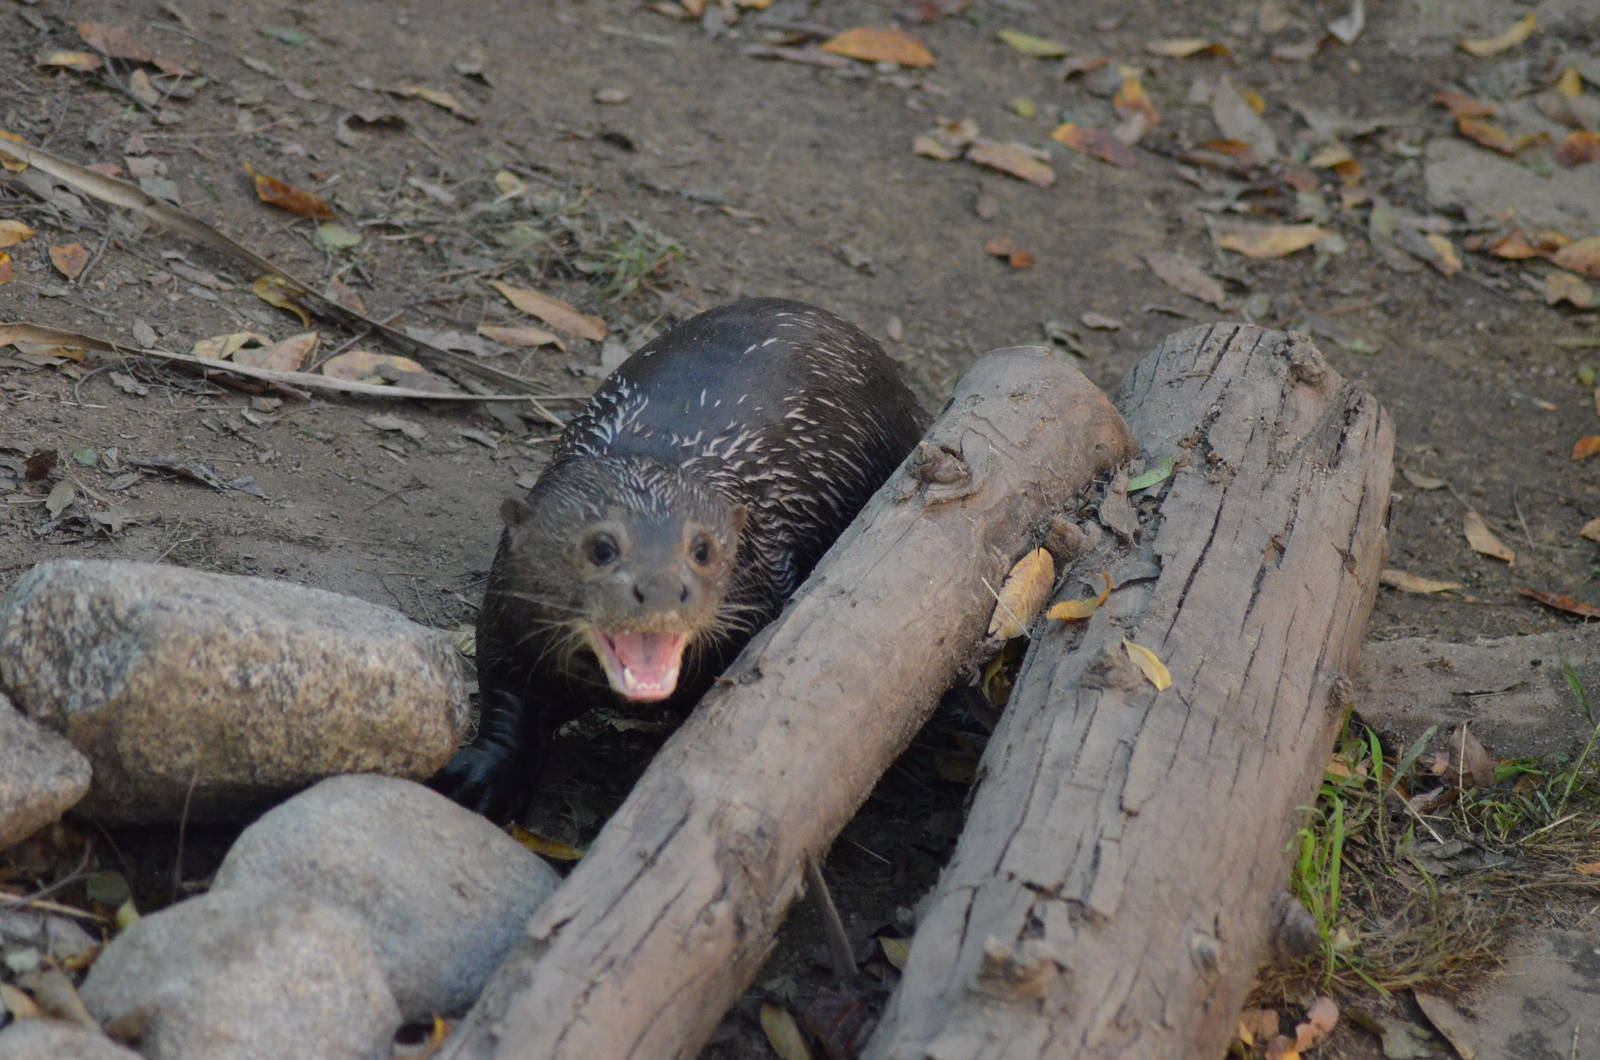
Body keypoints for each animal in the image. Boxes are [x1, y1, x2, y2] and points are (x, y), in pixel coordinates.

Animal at [432, 298, 927, 820]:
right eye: (601, 547)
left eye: (702, 549)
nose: (663, 590)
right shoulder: (506, 620)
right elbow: (507, 697)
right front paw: (482, 777)